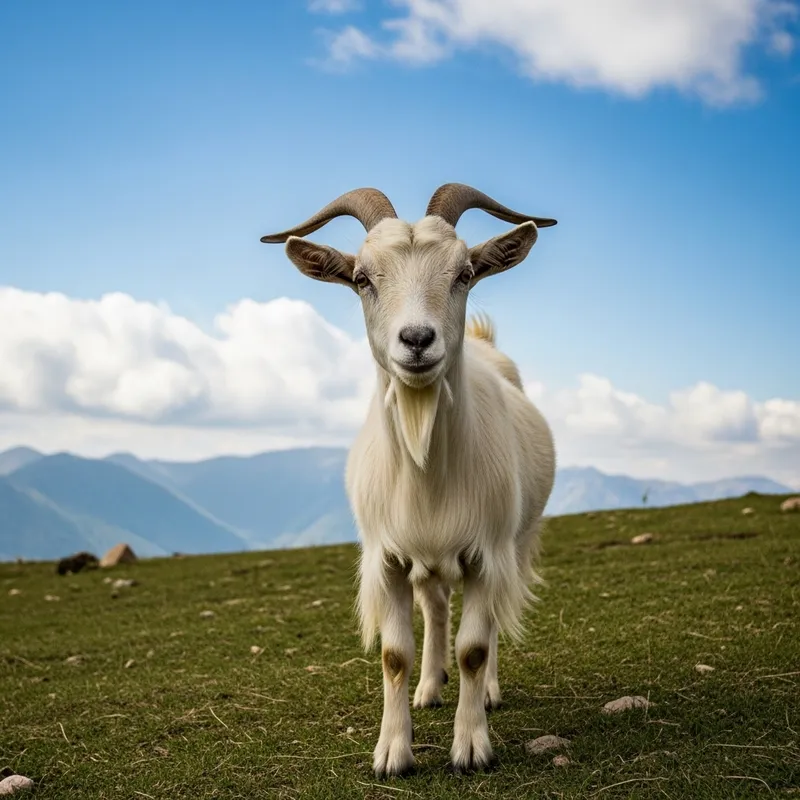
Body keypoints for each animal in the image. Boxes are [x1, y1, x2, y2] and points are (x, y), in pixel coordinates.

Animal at [261, 183, 557, 777]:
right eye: (362, 279)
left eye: (465, 273)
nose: (417, 339)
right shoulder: (390, 557)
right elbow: (394, 654)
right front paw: (393, 752)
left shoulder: (486, 551)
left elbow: (474, 648)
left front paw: (471, 747)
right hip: (427, 560)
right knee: (437, 609)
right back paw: (429, 687)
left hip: (513, 544)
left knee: (488, 623)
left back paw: (486, 693)